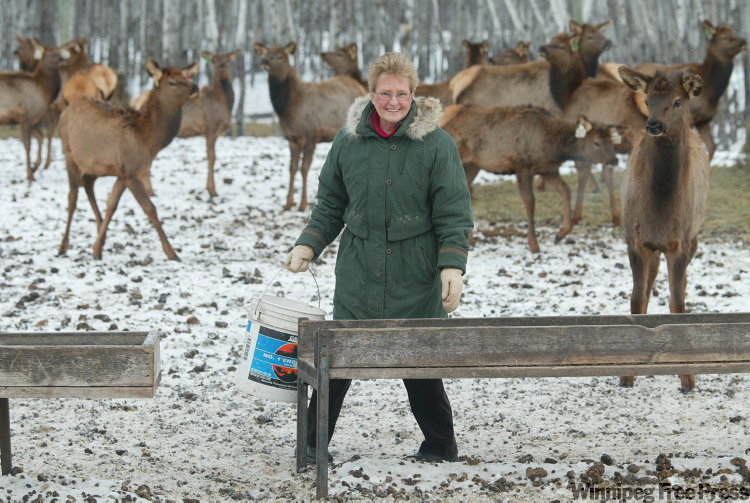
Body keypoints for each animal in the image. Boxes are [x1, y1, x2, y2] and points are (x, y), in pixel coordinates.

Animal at [1, 39, 62, 181]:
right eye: (48, 54)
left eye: (58, 52)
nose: (62, 59)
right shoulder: (26, 117)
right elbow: (27, 145)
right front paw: (30, 175)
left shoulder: (33, 119)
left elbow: (40, 137)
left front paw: (35, 167)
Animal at [57, 59, 199, 261]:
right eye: (172, 82)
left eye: (187, 77)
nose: (195, 87)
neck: (149, 141)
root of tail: (67, 110)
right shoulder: (131, 172)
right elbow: (150, 208)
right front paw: (172, 253)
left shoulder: (122, 173)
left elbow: (112, 205)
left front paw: (97, 248)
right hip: (69, 152)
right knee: (72, 197)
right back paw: (63, 246)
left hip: (94, 165)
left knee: (87, 184)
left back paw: (98, 229)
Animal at [252, 41, 366, 210]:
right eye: (266, 54)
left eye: (280, 56)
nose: (264, 61)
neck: (289, 108)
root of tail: (360, 85)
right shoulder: (292, 139)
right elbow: (292, 169)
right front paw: (288, 203)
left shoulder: (312, 135)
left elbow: (304, 168)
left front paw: (303, 204)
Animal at [440, 104, 625, 252]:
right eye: (596, 142)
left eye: (611, 141)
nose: (614, 160)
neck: (554, 149)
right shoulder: (523, 167)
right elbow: (530, 202)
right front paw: (534, 245)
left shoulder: (548, 170)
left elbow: (566, 190)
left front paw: (560, 234)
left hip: (473, 166)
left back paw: (470, 240)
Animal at [617, 67, 709, 393]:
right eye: (647, 99)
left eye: (678, 101)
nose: (654, 125)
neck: (659, 211)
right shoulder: (635, 240)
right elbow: (637, 300)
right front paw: (626, 375)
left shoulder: (679, 244)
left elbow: (678, 303)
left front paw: (688, 378)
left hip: (694, 237)